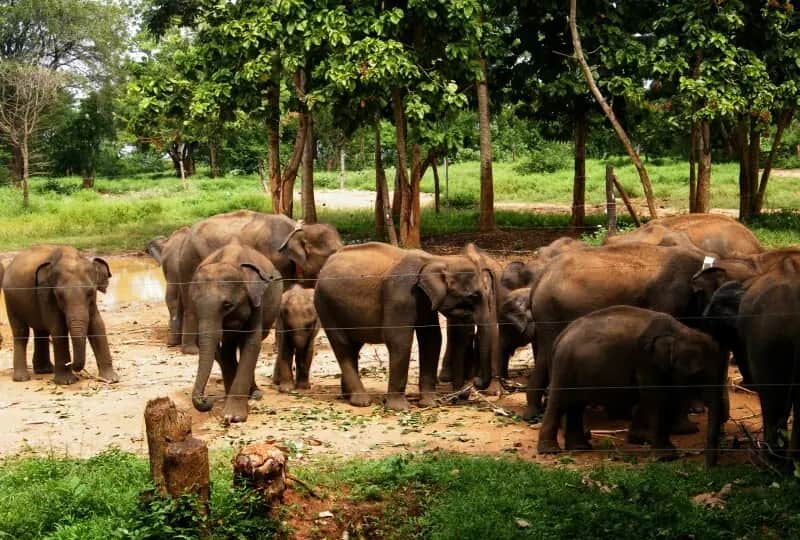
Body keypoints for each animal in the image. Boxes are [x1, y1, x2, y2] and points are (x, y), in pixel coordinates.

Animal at [2, 246, 118, 385]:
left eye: (91, 293)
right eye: (59, 296)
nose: (73, 366)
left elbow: (97, 325)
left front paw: (111, 379)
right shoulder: (46, 295)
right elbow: (58, 328)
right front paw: (66, 381)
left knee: (41, 331)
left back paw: (45, 370)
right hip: (10, 300)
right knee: (21, 333)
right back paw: (22, 379)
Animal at [177, 210, 342, 354]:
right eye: (332, 253)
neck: (298, 230)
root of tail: (186, 235)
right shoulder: (278, 261)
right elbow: (281, 296)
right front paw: (278, 348)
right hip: (191, 262)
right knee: (191, 304)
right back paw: (192, 350)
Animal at [190, 241, 282, 423]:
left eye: (227, 305)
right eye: (195, 305)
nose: (206, 400)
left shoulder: (257, 302)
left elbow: (252, 344)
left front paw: (233, 416)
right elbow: (223, 350)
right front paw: (229, 410)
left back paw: (255, 394)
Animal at [314, 242, 498, 410]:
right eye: (473, 296)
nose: (475, 382)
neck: (436, 259)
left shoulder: (425, 300)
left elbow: (431, 338)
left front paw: (430, 404)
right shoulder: (400, 294)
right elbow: (399, 339)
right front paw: (399, 408)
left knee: (354, 347)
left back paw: (348, 396)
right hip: (325, 306)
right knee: (343, 346)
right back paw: (362, 401)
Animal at [537, 306, 727, 466]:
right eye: (697, 373)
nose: (709, 467)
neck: (680, 331)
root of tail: (560, 336)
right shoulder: (646, 361)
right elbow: (657, 398)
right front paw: (667, 457)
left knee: (576, 405)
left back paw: (579, 448)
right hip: (564, 368)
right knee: (559, 403)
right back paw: (550, 451)